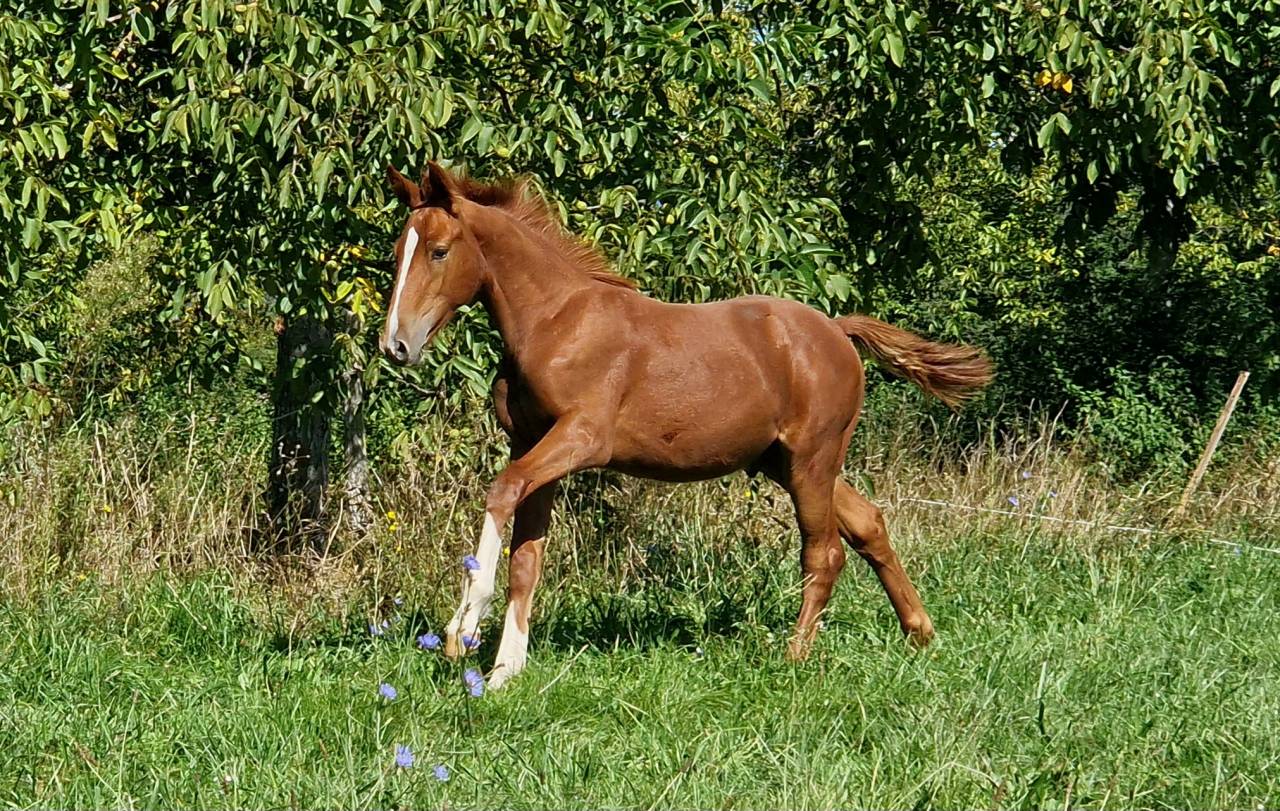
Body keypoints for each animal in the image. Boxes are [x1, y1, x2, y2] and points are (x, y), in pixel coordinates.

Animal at [381, 161, 992, 689]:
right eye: (396, 253)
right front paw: (506, 670)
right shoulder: (532, 445)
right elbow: (527, 559)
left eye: (438, 251)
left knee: (825, 552)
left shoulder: (581, 439)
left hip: (811, 460)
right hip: (784, 463)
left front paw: (463, 629)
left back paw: (794, 656)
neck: (557, 323)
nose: (395, 345)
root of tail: (838, 331)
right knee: (868, 524)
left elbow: (501, 492)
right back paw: (920, 633)